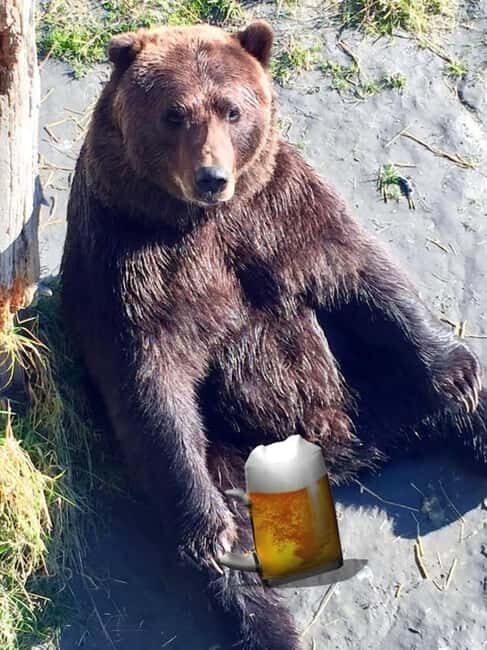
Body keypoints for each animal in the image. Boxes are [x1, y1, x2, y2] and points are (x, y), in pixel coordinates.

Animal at [60, 20, 486, 650]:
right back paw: (268, 619)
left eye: (232, 109)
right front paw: (209, 533)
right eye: (173, 114)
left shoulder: (278, 212)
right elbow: (152, 380)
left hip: (368, 379)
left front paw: (457, 374)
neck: (198, 221)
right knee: (237, 557)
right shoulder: (135, 263)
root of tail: (349, 453)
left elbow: (363, 275)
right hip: (228, 456)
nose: (211, 177)